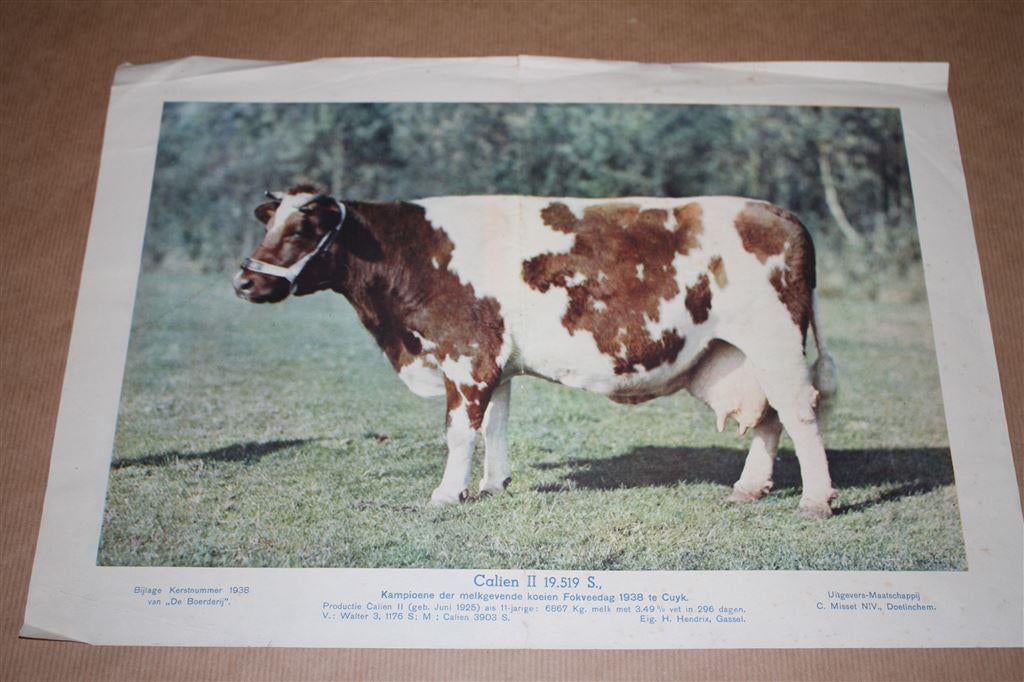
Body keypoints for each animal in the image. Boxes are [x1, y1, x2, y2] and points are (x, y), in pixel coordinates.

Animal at [233, 184, 839, 518]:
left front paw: (447, 494)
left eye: (301, 230)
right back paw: (748, 489)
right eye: (270, 224)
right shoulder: (495, 363)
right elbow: (496, 425)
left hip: (775, 340)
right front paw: (492, 485)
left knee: (799, 411)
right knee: (768, 416)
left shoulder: (465, 355)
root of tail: (780, 214)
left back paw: (815, 501)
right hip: (743, 351)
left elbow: (460, 431)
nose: (243, 283)